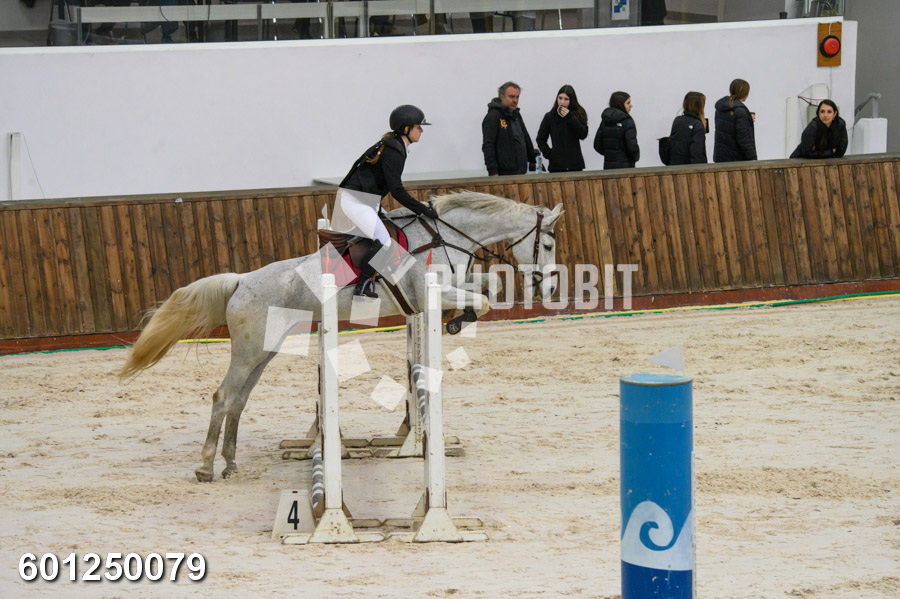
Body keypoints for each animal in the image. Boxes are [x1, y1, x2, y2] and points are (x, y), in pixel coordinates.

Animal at [119, 191, 563, 482]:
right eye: (548, 243)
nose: (549, 288)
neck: (443, 238)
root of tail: (242, 280)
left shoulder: (456, 284)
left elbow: (488, 288)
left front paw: (459, 319)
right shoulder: (431, 292)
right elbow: (483, 299)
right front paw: (456, 320)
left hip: (264, 349)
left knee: (239, 400)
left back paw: (230, 463)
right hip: (249, 350)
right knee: (223, 396)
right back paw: (206, 466)